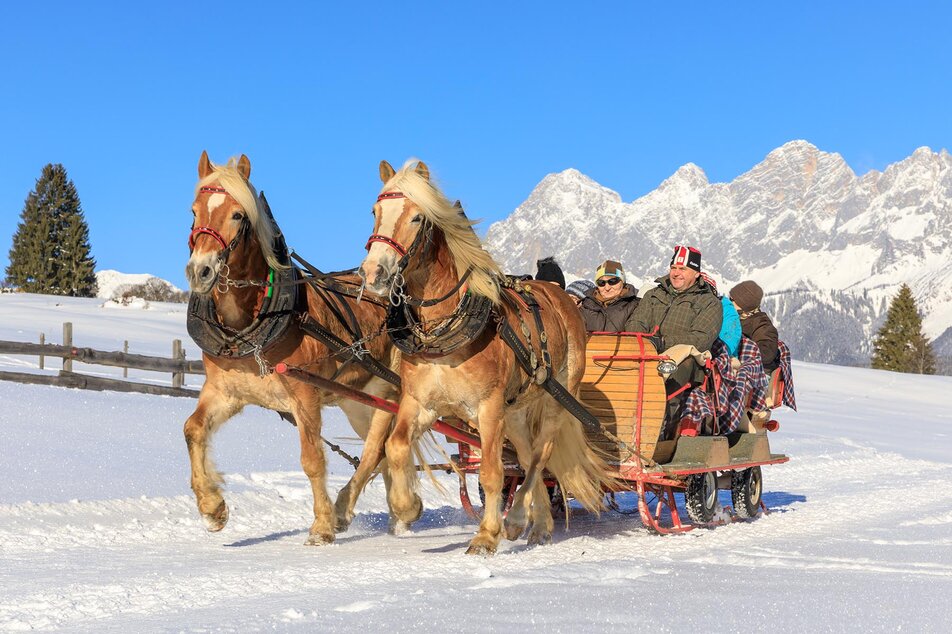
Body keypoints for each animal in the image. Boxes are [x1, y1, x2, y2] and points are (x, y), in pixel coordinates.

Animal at [184, 152, 404, 544]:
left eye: (238, 214)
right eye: (194, 212)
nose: (200, 271)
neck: (250, 325)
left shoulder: (305, 397)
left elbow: (312, 460)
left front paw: (321, 526)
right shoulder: (225, 392)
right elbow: (193, 429)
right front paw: (212, 508)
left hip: (389, 392)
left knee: (374, 451)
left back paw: (348, 511)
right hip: (357, 400)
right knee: (384, 454)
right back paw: (401, 512)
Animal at [356, 158, 608, 552]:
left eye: (417, 217)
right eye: (375, 211)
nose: (373, 272)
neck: (442, 330)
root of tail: (560, 296)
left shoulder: (487, 408)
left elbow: (492, 472)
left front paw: (487, 534)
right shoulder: (420, 403)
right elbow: (395, 447)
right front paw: (407, 508)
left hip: (556, 397)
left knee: (541, 454)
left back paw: (516, 519)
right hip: (515, 410)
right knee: (526, 456)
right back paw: (537, 524)